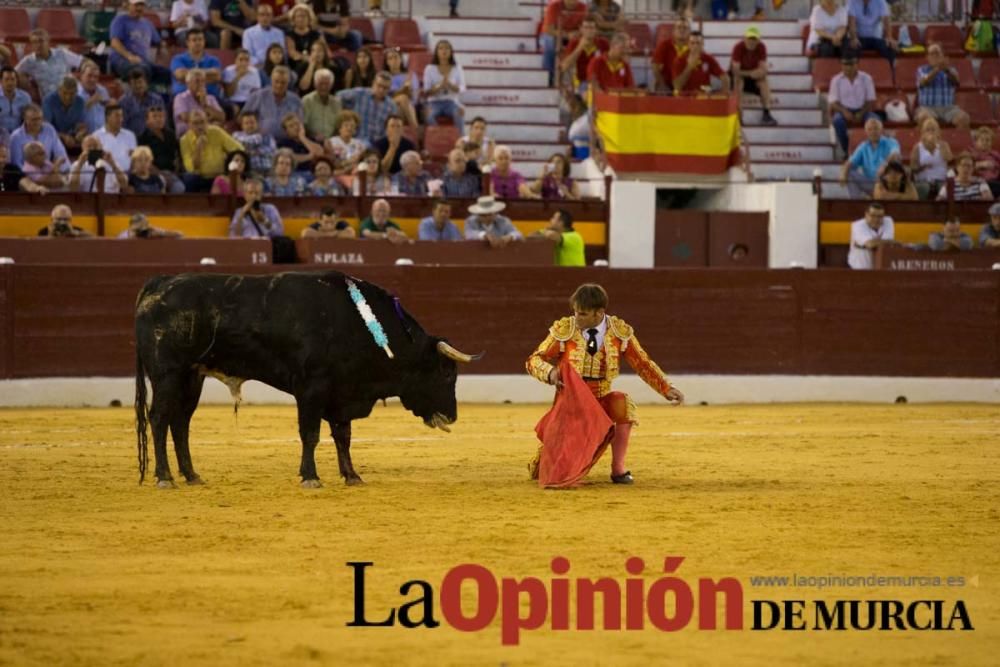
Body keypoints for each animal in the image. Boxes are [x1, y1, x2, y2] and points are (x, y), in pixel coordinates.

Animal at [135, 272, 478, 490]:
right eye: (446, 372)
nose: (453, 416)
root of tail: (159, 283)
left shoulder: (342, 392)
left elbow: (343, 436)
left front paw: (352, 476)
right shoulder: (311, 389)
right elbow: (311, 434)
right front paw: (310, 477)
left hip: (191, 377)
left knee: (180, 423)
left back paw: (191, 475)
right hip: (167, 373)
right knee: (159, 418)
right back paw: (164, 477)